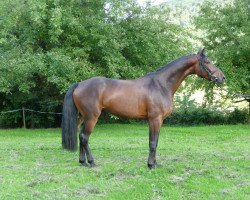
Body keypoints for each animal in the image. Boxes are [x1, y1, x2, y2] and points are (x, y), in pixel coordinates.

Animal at [61, 48, 226, 169]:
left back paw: (82, 162)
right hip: (92, 117)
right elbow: (152, 143)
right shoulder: (154, 119)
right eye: (207, 61)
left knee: (80, 136)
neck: (161, 85)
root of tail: (80, 84)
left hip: (83, 117)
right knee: (84, 137)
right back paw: (92, 162)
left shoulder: (159, 121)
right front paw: (151, 165)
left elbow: (156, 142)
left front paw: (155, 163)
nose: (222, 78)